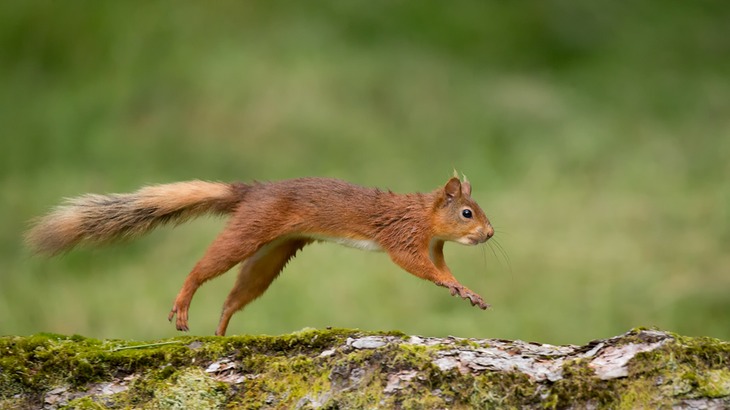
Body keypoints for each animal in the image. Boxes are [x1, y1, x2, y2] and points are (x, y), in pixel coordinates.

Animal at [28, 176, 494, 336]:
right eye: (467, 213)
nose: (490, 233)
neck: (424, 216)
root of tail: (253, 191)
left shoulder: (434, 247)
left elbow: (441, 267)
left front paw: (466, 289)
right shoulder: (403, 237)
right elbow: (415, 266)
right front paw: (453, 285)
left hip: (270, 255)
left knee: (237, 294)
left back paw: (220, 328)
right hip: (248, 233)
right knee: (201, 269)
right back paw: (184, 302)